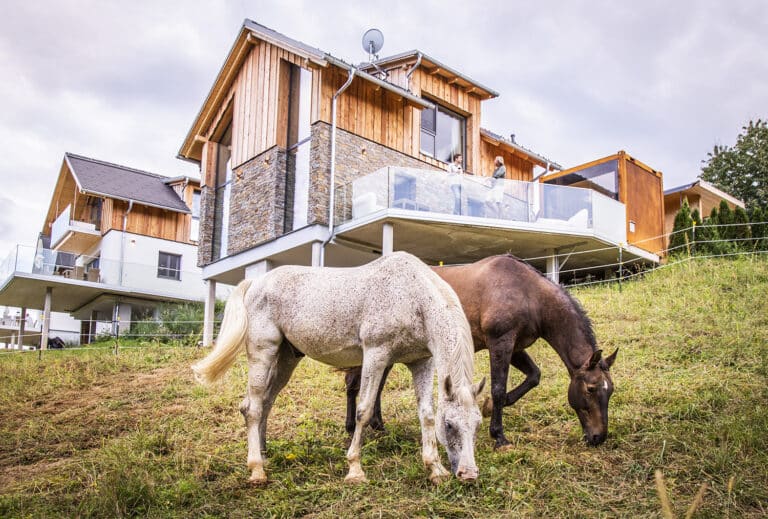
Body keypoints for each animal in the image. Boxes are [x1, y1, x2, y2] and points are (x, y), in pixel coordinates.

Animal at [192, 251, 485, 485]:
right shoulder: (376, 354)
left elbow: (425, 414)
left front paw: (435, 469)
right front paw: (355, 469)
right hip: (263, 353)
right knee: (252, 407)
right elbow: (364, 411)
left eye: (478, 424)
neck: (412, 296)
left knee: (264, 402)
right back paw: (256, 470)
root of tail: (256, 282)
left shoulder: (421, 362)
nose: (469, 474)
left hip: (286, 359)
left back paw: (262, 454)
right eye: (449, 425)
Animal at [345, 254, 618, 450]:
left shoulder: (515, 347)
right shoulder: (501, 342)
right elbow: (497, 387)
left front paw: (489, 408)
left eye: (610, 391)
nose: (598, 437)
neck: (528, 293)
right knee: (355, 384)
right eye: (591, 389)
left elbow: (533, 376)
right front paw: (499, 436)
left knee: (374, 386)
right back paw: (352, 428)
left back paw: (377, 425)